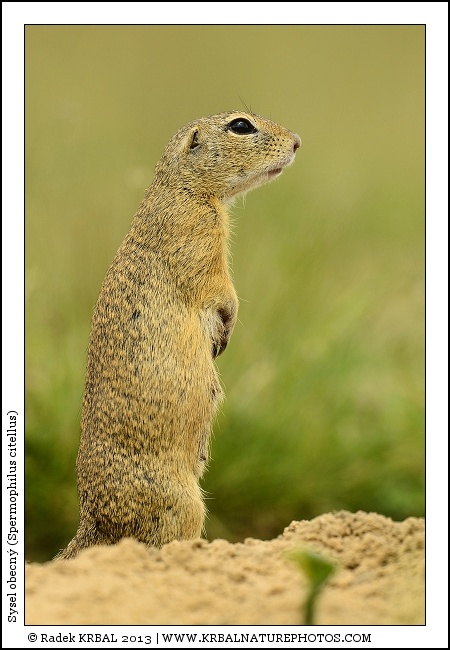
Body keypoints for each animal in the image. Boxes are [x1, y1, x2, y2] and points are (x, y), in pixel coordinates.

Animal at [57, 111, 301, 559]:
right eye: (241, 125)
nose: (297, 141)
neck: (181, 188)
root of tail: (94, 522)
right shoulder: (200, 239)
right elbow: (220, 289)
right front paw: (226, 328)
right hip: (182, 504)